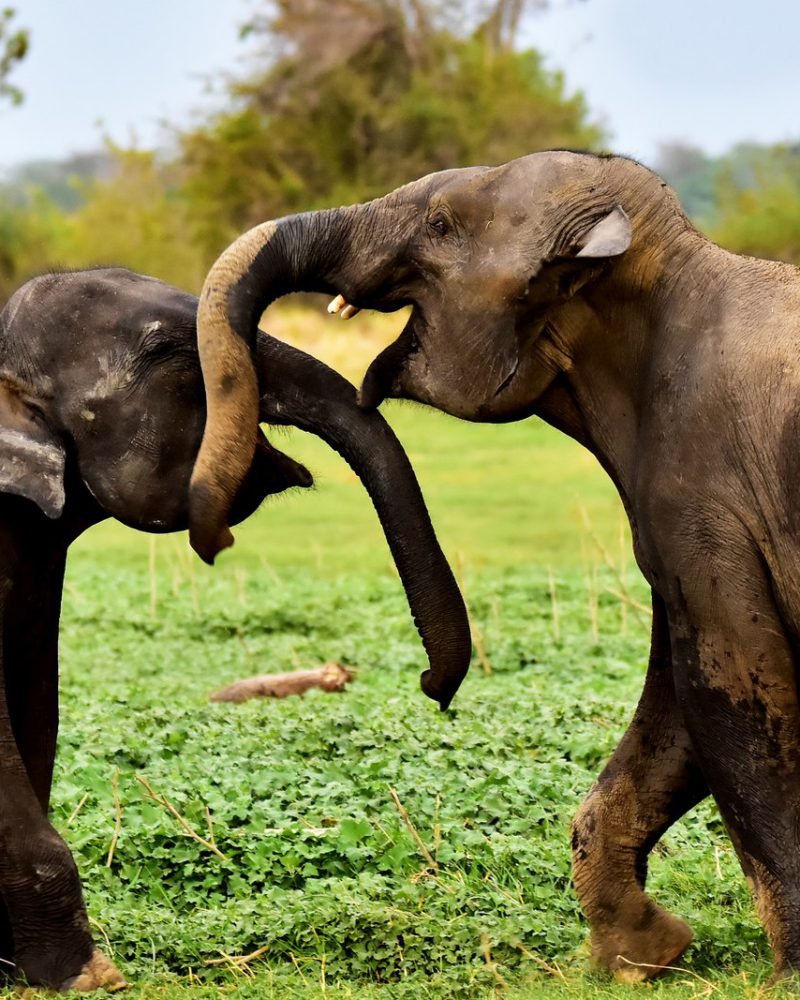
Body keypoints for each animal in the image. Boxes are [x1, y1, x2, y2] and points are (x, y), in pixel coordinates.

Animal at [188, 148, 800, 982]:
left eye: (443, 225)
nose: (430, 687)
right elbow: (679, 709)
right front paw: (646, 955)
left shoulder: (710, 503)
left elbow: (731, 687)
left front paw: (780, 973)